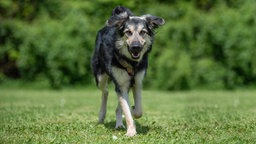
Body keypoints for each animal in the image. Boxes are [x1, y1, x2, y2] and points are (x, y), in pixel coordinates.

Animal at [91, 5, 165, 136]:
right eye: (128, 32)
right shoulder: (121, 84)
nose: (136, 47)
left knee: (117, 106)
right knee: (105, 91)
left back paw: (119, 124)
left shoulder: (137, 82)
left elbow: (138, 110)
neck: (131, 63)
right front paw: (131, 131)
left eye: (142, 32)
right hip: (100, 77)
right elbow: (127, 109)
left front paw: (133, 110)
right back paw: (101, 116)